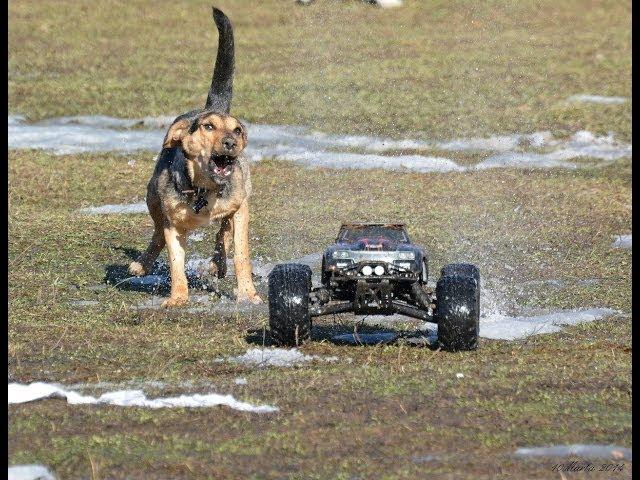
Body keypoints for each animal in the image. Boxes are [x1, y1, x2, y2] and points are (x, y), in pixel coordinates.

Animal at [129, 6, 262, 308]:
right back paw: (142, 264)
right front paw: (178, 298)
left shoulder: (241, 208)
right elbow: (175, 260)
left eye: (237, 130)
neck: (205, 190)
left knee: (224, 232)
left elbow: (241, 254)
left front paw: (248, 294)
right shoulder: (173, 224)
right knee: (157, 231)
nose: (231, 142)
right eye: (208, 127)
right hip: (151, 195)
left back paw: (217, 262)